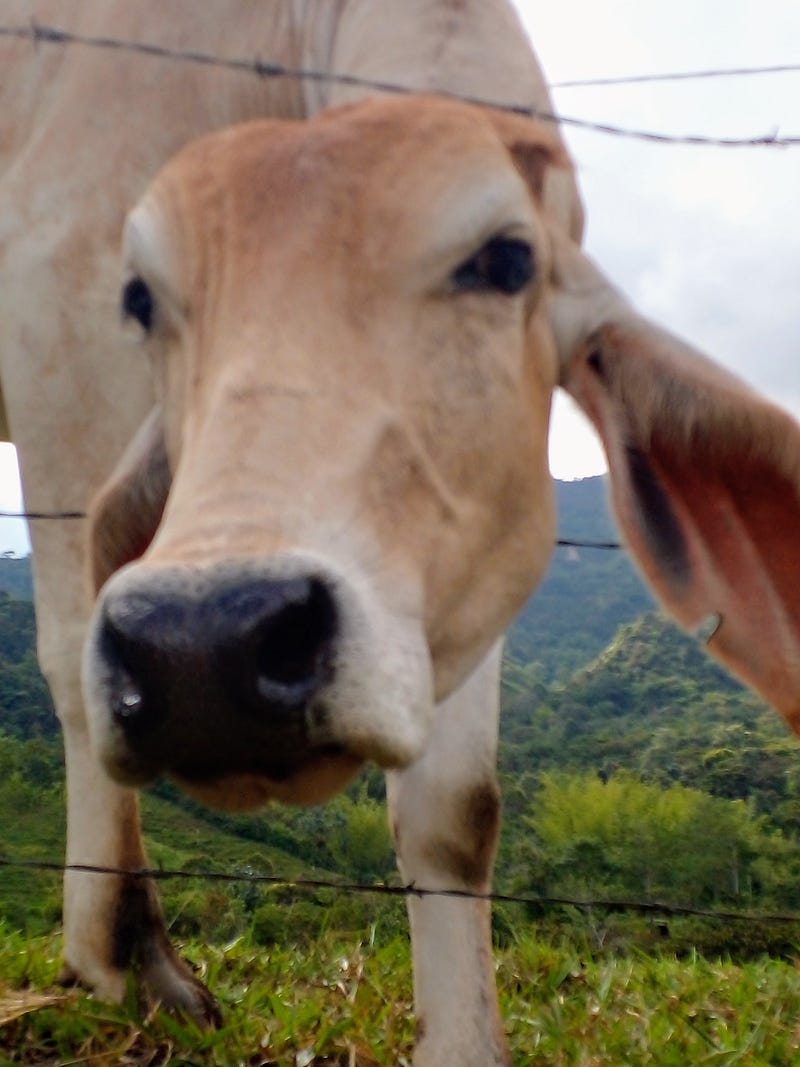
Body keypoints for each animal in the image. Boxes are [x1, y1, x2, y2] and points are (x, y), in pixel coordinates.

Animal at [1, 2, 800, 1067]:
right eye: (142, 296)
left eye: (507, 260)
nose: (203, 648)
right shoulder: (55, 323)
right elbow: (69, 664)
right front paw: (119, 956)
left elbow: (455, 811)